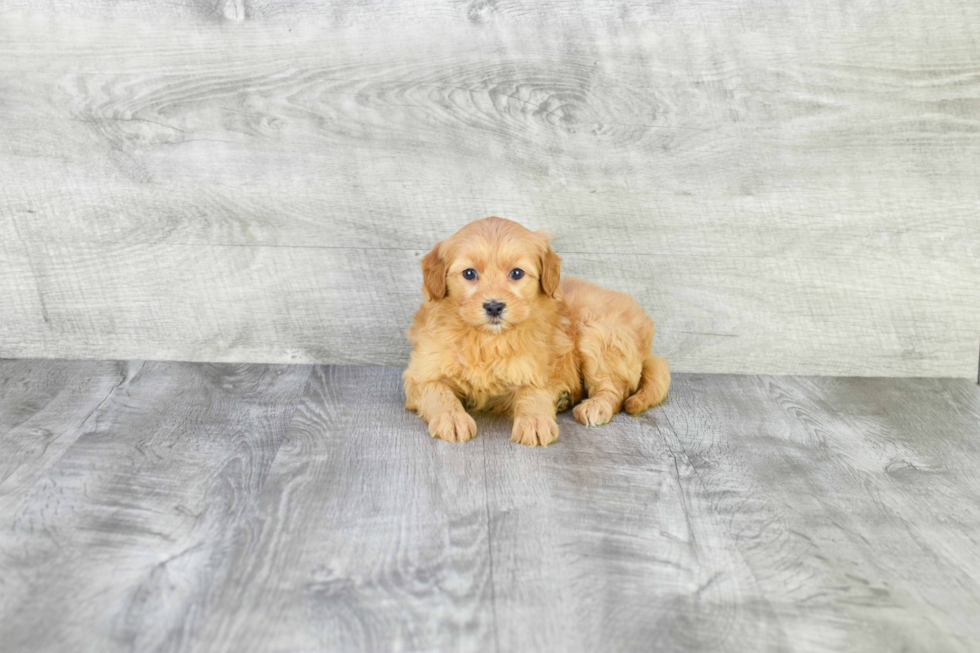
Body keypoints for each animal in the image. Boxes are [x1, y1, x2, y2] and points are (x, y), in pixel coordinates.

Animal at [402, 216, 668, 446]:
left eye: (516, 273)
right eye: (469, 273)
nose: (494, 306)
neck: (487, 339)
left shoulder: (536, 371)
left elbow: (533, 395)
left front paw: (535, 421)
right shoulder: (422, 374)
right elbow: (438, 392)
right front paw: (452, 418)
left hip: (597, 335)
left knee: (616, 390)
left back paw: (595, 406)